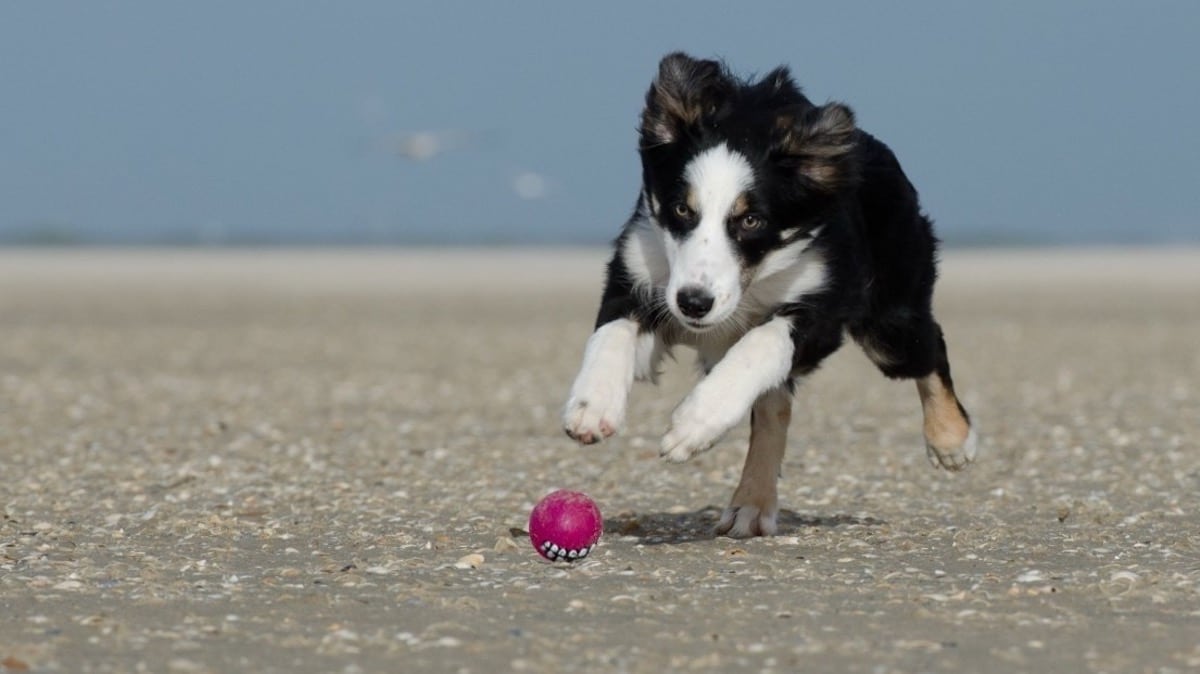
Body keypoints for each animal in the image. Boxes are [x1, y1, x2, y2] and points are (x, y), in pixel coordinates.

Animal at [561, 51, 974, 534]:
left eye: (751, 220)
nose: (694, 304)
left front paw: (693, 424)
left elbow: (760, 343)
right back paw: (752, 504)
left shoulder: (824, 307)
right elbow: (612, 331)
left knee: (929, 348)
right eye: (682, 209)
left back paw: (951, 441)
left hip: (889, 322)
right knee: (775, 408)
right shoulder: (640, 273)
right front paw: (591, 405)